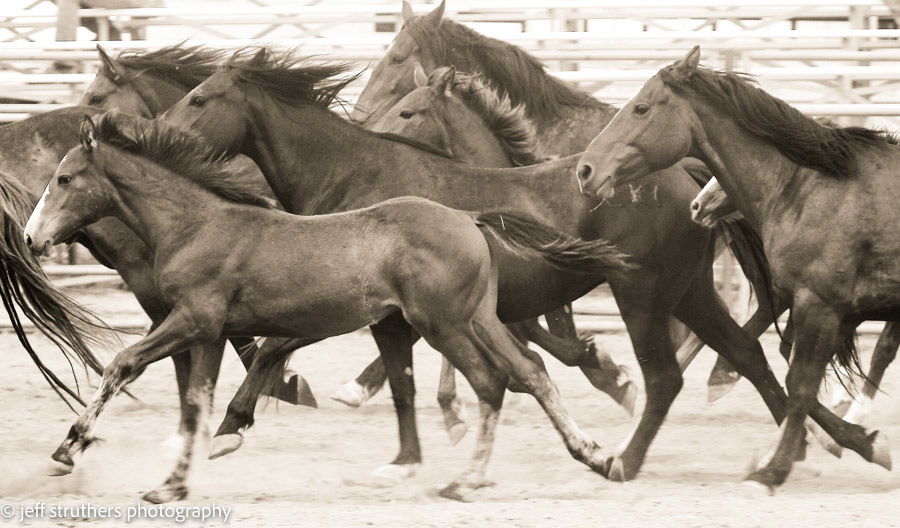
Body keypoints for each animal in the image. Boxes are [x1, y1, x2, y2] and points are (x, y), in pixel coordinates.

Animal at [25, 112, 633, 500]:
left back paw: (468, 480)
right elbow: (196, 403)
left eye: (64, 178)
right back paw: (597, 456)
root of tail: (469, 217)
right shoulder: (210, 332)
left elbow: (124, 363)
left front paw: (67, 450)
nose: (31, 239)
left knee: (491, 381)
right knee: (529, 371)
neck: (196, 224)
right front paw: (172, 484)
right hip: (477, 318)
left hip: (443, 323)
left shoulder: (194, 321)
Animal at [156, 46, 863, 483]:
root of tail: (684, 170)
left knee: (677, 374)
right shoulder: (400, 314)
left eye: (200, 99)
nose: (155, 132)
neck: (358, 178)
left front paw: (230, 426)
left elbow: (278, 347)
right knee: (748, 357)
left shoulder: (357, 303)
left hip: (643, 294)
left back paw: (633, 455)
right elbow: (407, 378)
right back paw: (834, 441)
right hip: (689, 291)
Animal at [575, 46, 896, 490]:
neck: (810, 189)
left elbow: (800, 383)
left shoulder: (821, 304)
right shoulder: (823, 309)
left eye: (641, 107)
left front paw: (773, 470)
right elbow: (789, 371)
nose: (586, 170)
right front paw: (859, 442)